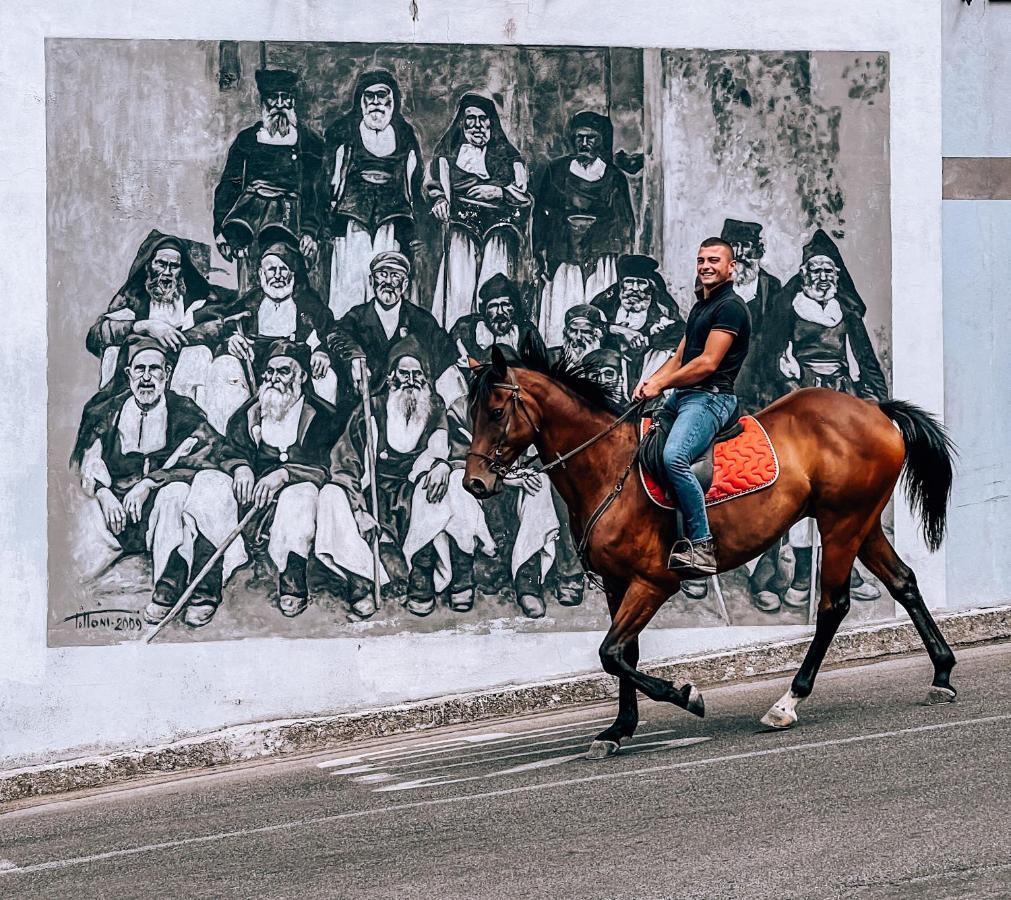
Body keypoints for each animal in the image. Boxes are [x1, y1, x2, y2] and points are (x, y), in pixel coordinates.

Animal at [465, 343, 954, 756]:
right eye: (470, 413)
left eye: (495, 411)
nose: (475, 483)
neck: (607, 470)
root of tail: (873, 409)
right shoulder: (616, 583)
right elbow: (624, 654)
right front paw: (619, 729)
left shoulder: (653, 582)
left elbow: (611, 653)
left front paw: (685, 695)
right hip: (861, 523)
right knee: (903, 583)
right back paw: (943, 674)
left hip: (841, 525)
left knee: (833, 605)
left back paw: (787, 702)